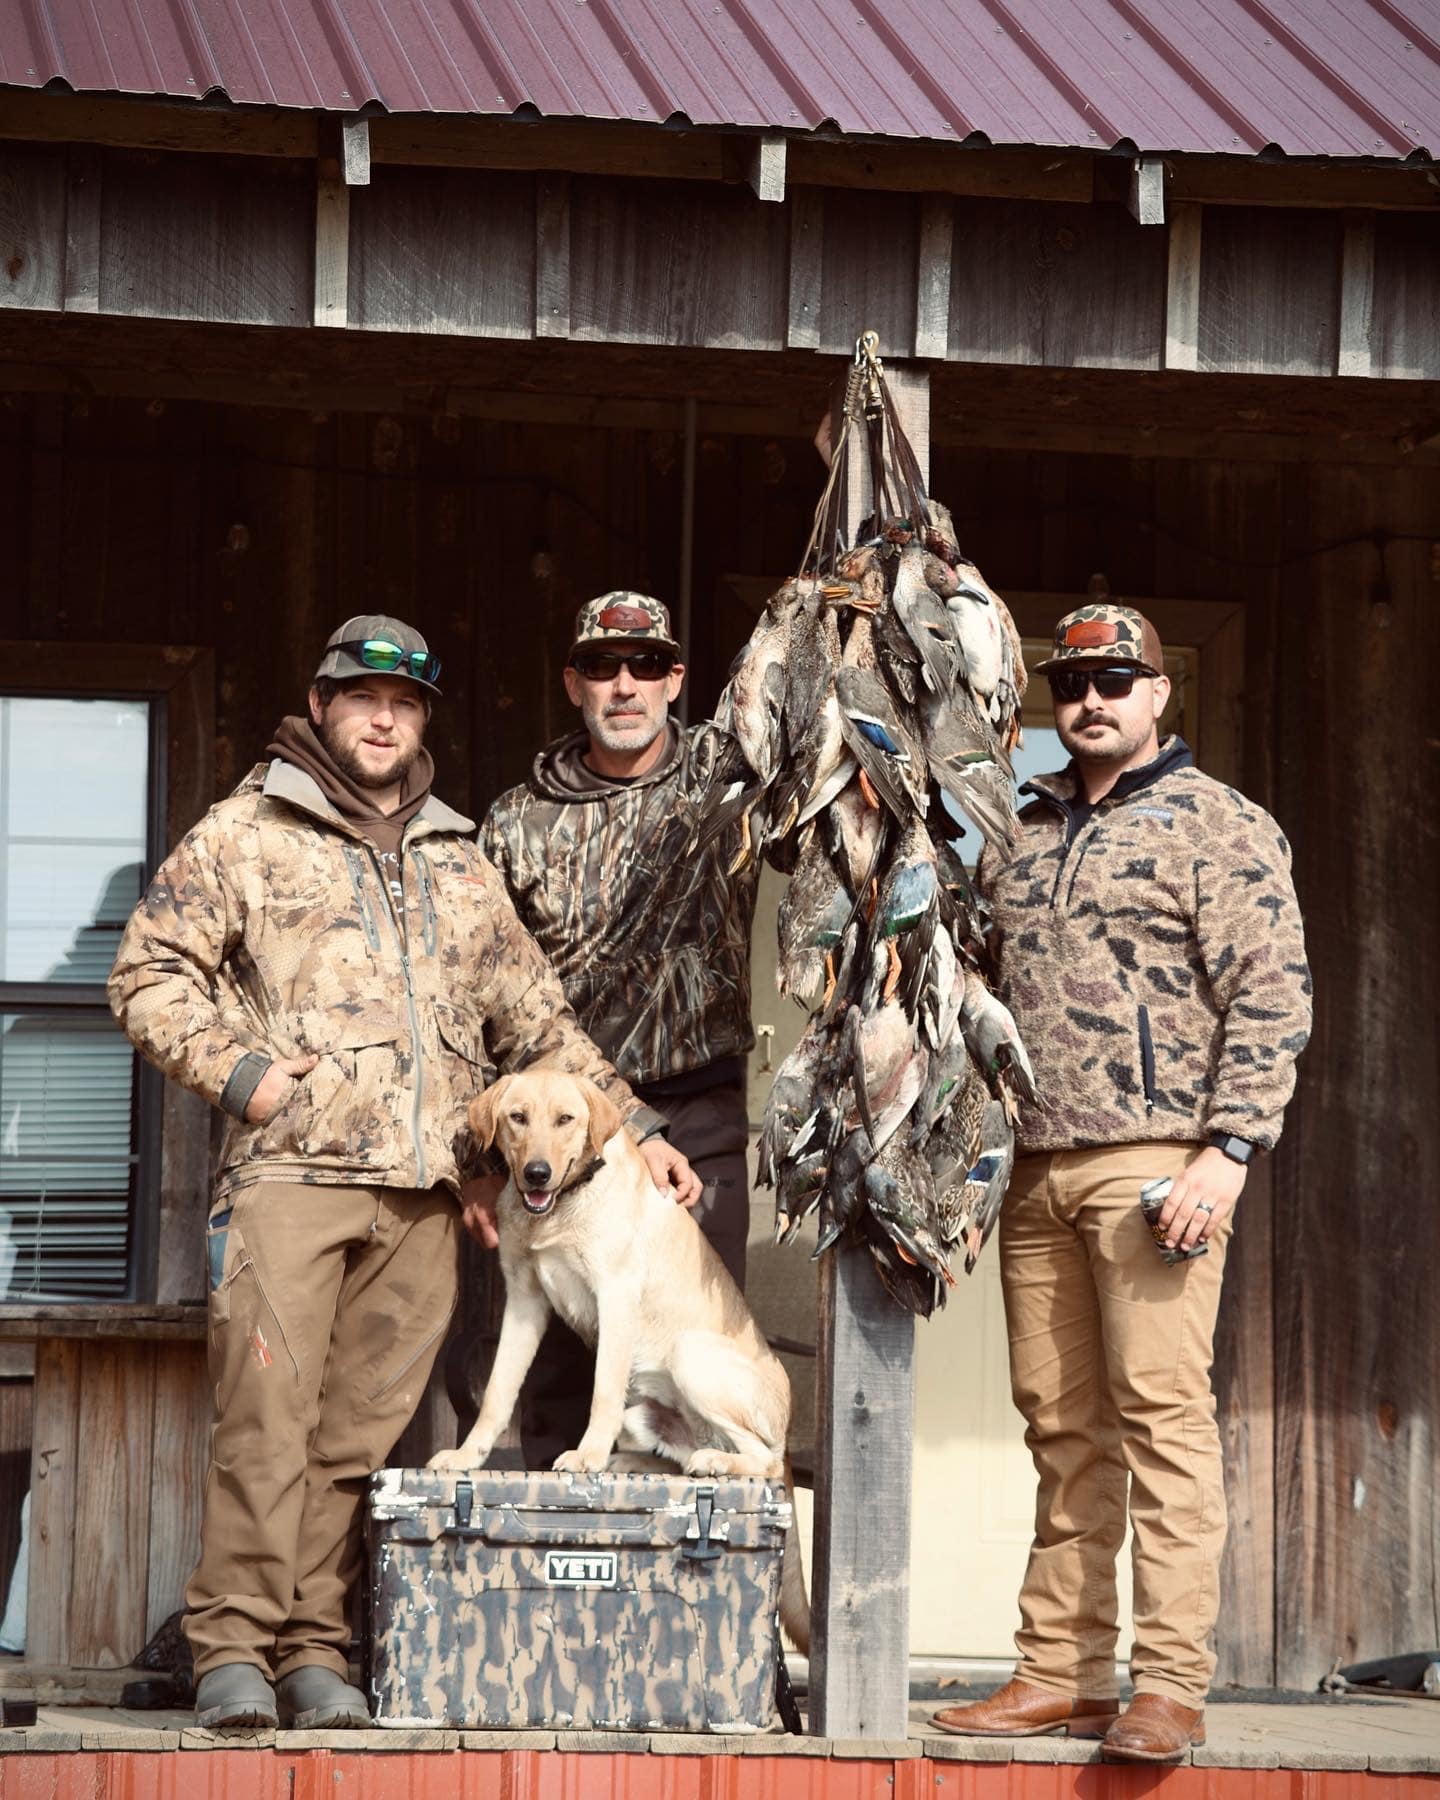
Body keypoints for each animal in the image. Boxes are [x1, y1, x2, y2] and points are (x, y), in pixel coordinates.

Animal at [428, 1072, 792, 1483]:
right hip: (642, 1414)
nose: (537, 1174)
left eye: (565, 1119)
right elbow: (497, 1390)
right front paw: (467, 1456)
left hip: (690, 1352)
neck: (563, 1205)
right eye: (518, 1117)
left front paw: (589, 1455)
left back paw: (716, 1461)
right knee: (682, 1455)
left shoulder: (615, 1296)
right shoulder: (523, 1300)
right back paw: (637, 1461)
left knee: (764, 1459)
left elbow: (603, 1390)